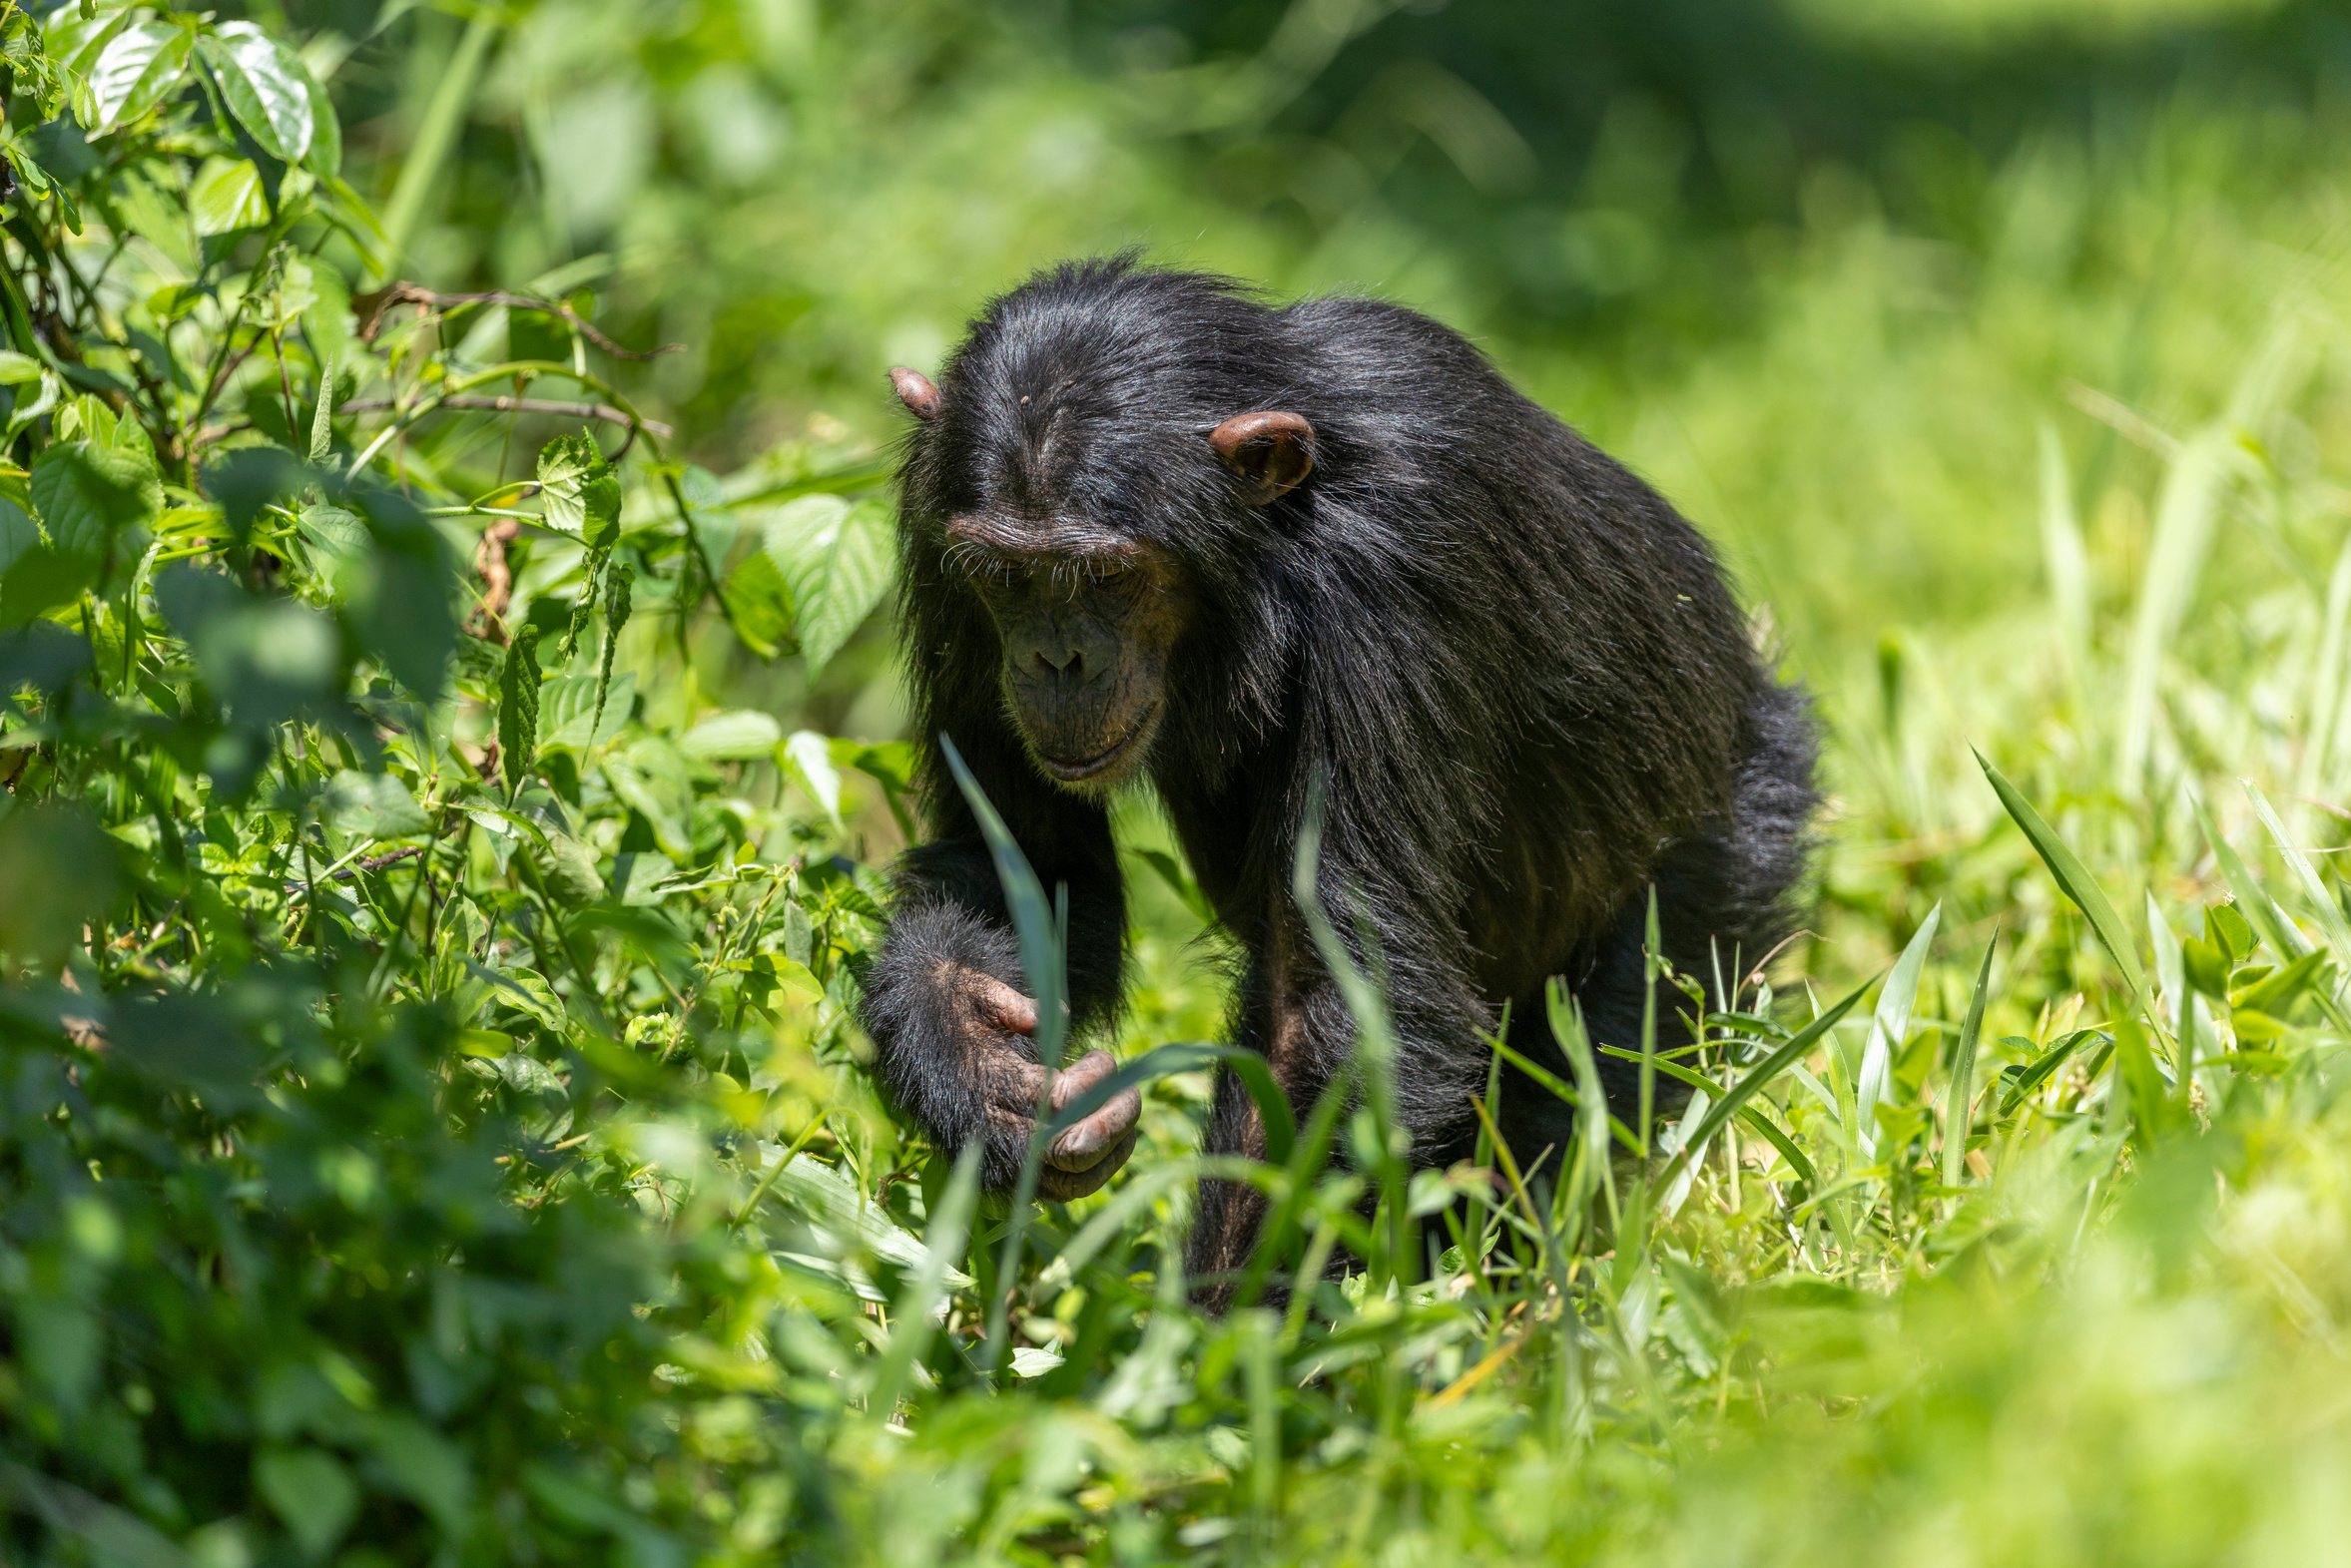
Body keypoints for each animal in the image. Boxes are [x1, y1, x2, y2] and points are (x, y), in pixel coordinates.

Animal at [857, 255, 1818, 1291]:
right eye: (1005, 576)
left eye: (1105, 577)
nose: (1054, 660)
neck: (1261, 550)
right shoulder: (938, 553)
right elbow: (1029, 872)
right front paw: (971, 1054)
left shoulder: (1402, 559)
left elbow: (1331, 1010)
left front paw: (1219, 1336)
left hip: (1713, 869)